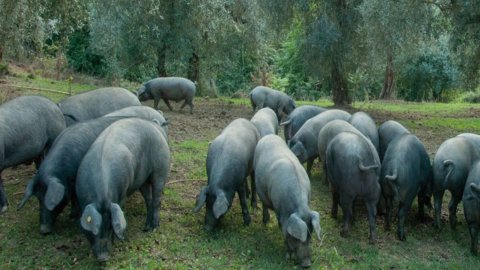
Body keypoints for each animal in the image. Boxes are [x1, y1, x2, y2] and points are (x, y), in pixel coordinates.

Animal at [17, 107, 169, 234]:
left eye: (51, 201)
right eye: (38, 198)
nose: (43, 230)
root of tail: (157, 121)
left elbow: (75, 198)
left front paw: (73, 216)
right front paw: (72, 216)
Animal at [76, 118, 170, 262]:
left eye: (110, 226)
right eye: (96, 229)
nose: (103, 257)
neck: (102, 196)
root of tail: (155, 126)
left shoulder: (122, 194)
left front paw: (117, 241)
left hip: (161, 169)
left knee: (156, 200)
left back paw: (154, 228)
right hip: (143, 180)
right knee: (148, 200)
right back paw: (146, 228)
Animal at [253, 135, 320, 268]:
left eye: (310, 235)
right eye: (296, 238)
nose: (307, 264)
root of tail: (268, 136)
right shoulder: (280, 213)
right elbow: (282, 228)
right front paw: (288, 257)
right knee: (264, 204)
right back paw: (265, 221)